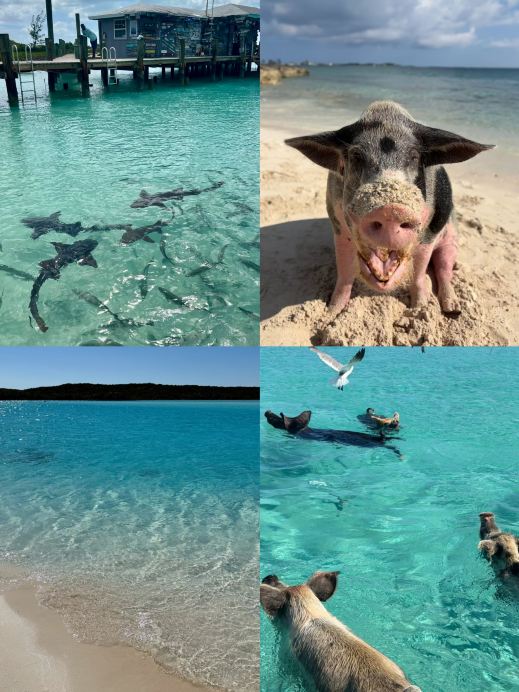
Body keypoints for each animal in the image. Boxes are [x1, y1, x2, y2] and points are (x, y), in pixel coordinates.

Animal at [286, 101, 494, 316]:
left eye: (414, 156)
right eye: (356, 156)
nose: (390, 210)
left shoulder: (429, 232)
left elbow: (419, 272)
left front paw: (418, 308)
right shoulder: (338, 225)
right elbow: (344, 271)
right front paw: (331, 312)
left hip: (452, 239)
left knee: (444, 268)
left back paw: (453, 309)